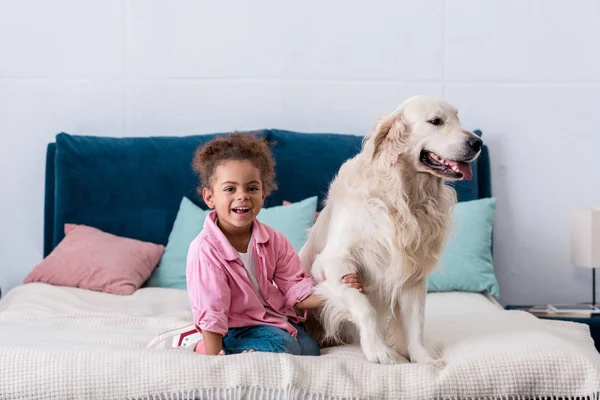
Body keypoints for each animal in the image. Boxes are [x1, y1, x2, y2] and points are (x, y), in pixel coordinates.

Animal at [300, 96, 482, 366]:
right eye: (436, 121)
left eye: (458, 119)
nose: (477, 142)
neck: (402, 195)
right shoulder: (332, 263)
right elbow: (365, 306)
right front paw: (378, 350)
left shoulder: (413, 273)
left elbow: (415, 322)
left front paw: (423, 359)